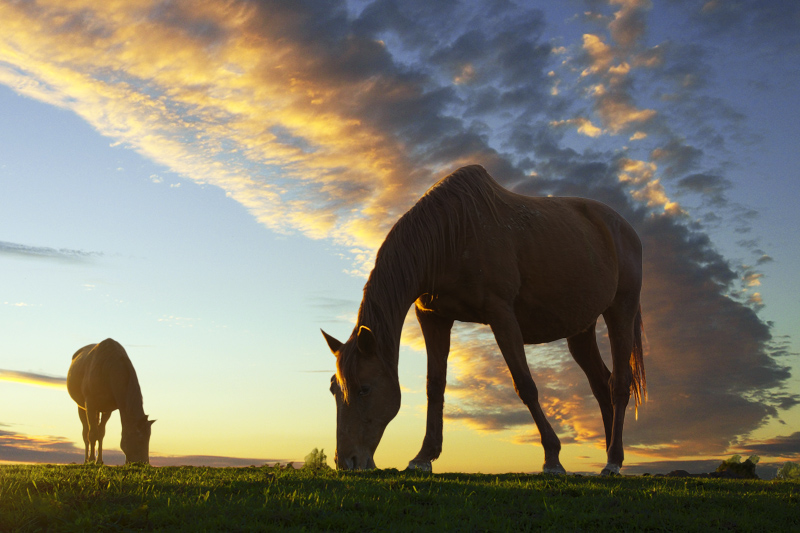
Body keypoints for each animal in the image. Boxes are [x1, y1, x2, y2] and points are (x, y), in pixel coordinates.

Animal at [322, 163, 648, 474]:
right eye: (334, 389)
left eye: (364, 388)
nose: (346, 461)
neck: (451, 234)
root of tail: (625, 228)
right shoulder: (433, 317)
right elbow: (435, 386)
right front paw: (424, 457)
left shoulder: (501, 314)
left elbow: (525, 384)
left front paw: (553, 458)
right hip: (581, 329)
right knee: (601, 385)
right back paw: (612, 455)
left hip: (621, 310)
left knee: (619, 384)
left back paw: (613, 461)